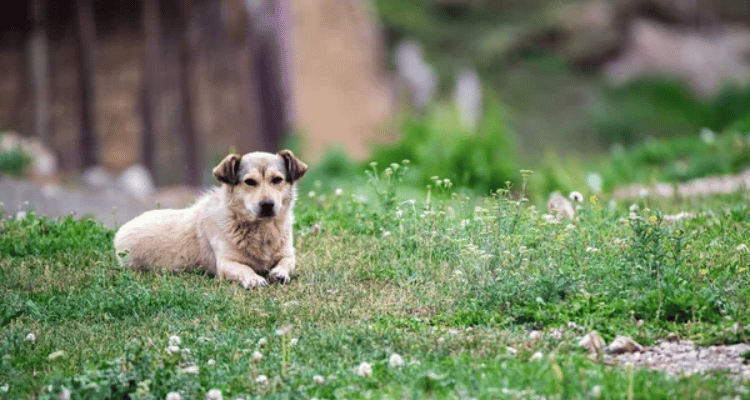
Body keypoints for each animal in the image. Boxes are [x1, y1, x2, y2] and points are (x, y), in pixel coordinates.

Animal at [113, 150, 306, 288]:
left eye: (277, 180)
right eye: (250, 181)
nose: (267, 204)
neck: (261, 230)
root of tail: (121, 230)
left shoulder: (288, 254)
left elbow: (286, 263)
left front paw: (279, 273)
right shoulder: (225, 263)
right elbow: (245, 268)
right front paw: (253, 279)